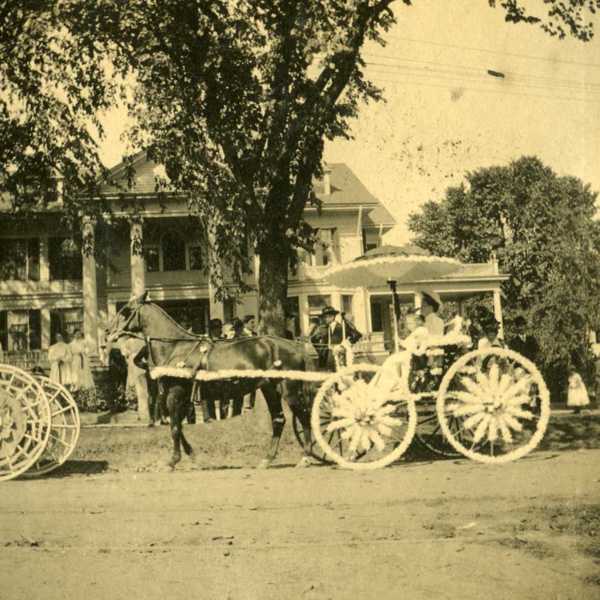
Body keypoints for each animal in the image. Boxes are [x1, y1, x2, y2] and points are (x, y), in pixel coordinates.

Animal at [105, 290, 314, 468]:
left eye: (126, 311)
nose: (108, 333)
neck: (175, 347)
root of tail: (296, 346)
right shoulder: (181, 396)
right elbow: (178, 427)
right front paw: (192, 455)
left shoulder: (175, 394)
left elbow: (174, 428)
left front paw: (173, 460)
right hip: (270, 389)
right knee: (279, 419)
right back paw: (267, 459)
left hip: (289, 389)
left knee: (304, 417)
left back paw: (306, 456)